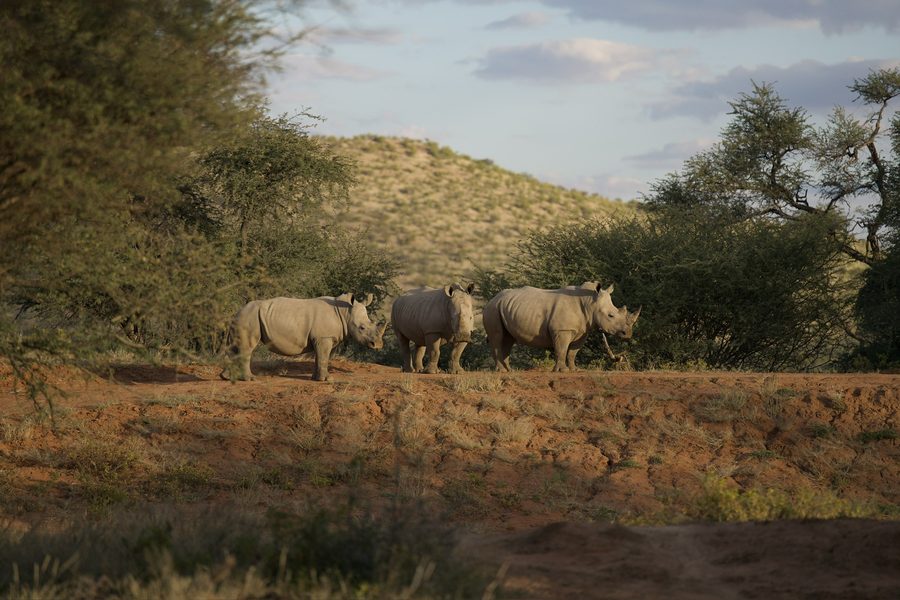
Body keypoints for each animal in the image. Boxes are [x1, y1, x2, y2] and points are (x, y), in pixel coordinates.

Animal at [221, 293, 387, 382]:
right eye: (362, 328)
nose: (377, 344)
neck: (345, 313)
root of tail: (238, 311)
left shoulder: (322, 338)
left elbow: (320, 358)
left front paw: (316, 378)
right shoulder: (324, 338)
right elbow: (324, 357)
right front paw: (327, 380)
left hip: (246, 317)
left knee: (235, 348)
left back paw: (226, 377)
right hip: (250, 318)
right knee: (248, 348)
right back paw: (250, 379)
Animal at [482, 282, 640, 372]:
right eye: (611, 315)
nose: (628, 334)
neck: (590, 302)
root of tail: (492, 299)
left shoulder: (583, 331)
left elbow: (572, 352)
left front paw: (574, 370)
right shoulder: (562, 330)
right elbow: (562, 349)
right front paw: (562, 370)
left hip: (504, 308)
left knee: (508, 339)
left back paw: (509, 370)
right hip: (492, 309)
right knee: (497, 337)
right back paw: (502, 371)